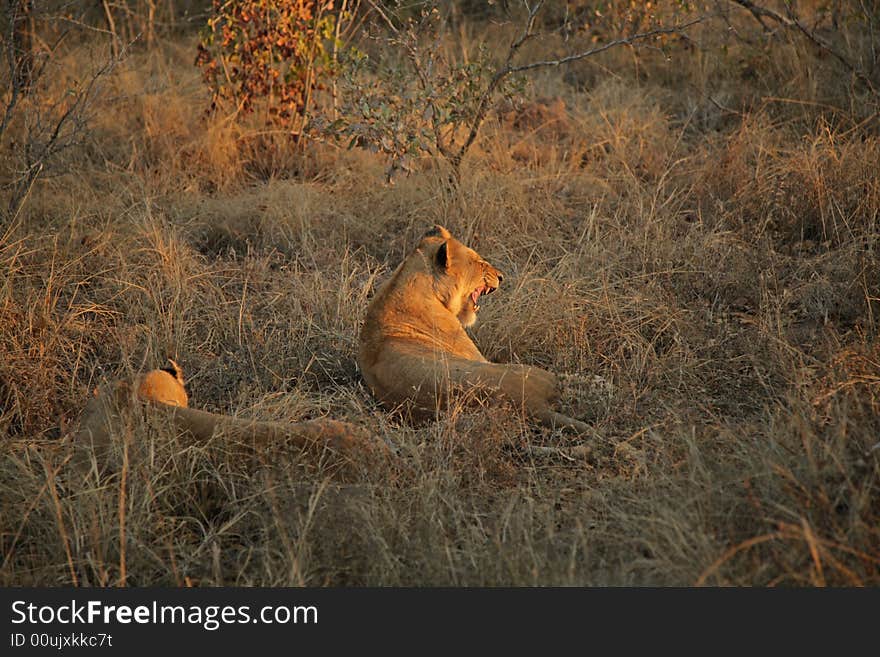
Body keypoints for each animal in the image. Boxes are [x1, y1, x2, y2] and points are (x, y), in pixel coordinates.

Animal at [358, 223, 592, 434]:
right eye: (480, 263)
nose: (501, 277)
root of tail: (531, 406)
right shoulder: (476, 355)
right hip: (528, 371)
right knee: (566, 380)